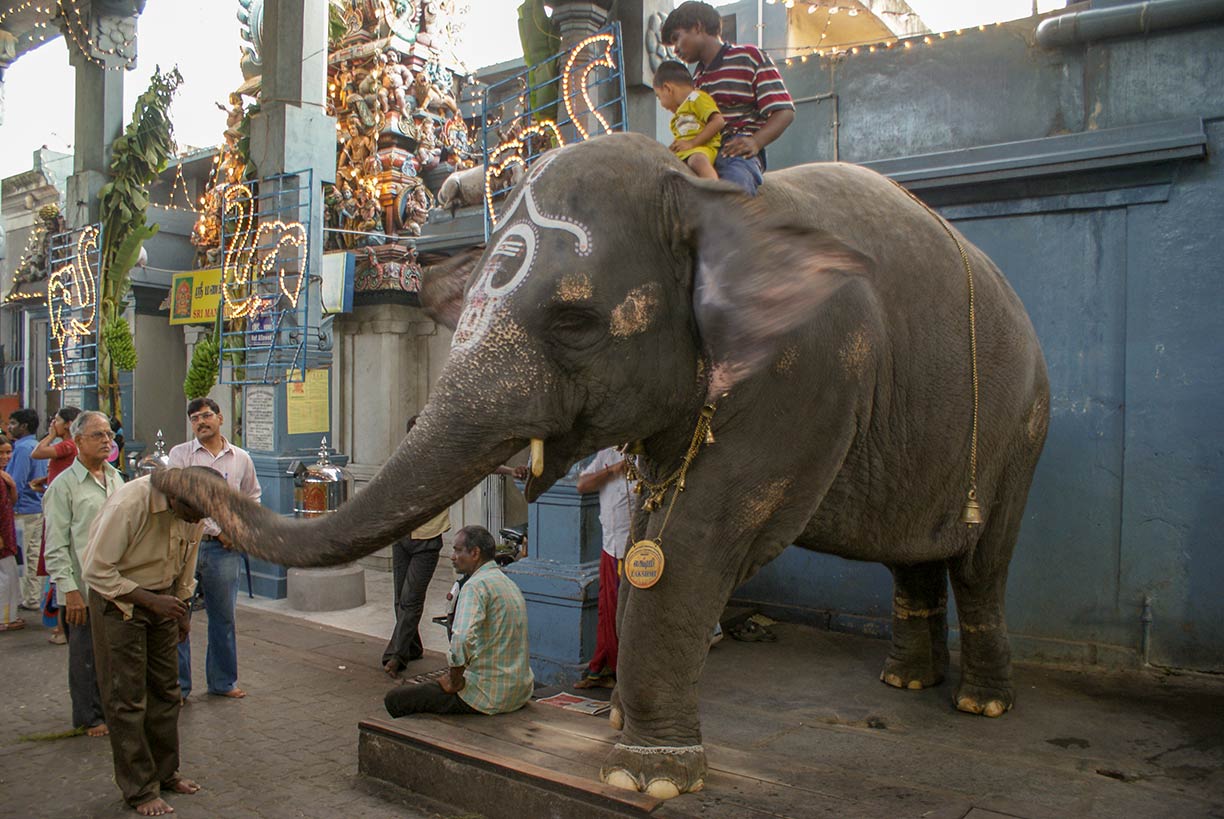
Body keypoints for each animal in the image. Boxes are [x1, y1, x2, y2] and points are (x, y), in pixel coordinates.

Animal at [155, 132, 1052, 798]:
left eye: (576, 320)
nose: (168, 475)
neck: (701, 198)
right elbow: (657, 522)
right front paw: (624, 728)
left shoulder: (809, 368)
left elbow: (695, 541)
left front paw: (645, 774)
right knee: (914, 559)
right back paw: (905, 683)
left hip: (1021, 425)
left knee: (982, 561)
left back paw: (981, 702)